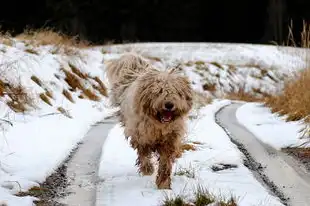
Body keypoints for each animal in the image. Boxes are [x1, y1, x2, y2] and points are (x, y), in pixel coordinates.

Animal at [106, 52, 194, 189]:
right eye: (159, 91)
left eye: (176, 92)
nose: (169, 105)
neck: (158, 124)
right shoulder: (141, 135)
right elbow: (143, 153)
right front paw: (148, 170)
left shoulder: (170, 138)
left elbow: (165, 161)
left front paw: (163, 183)